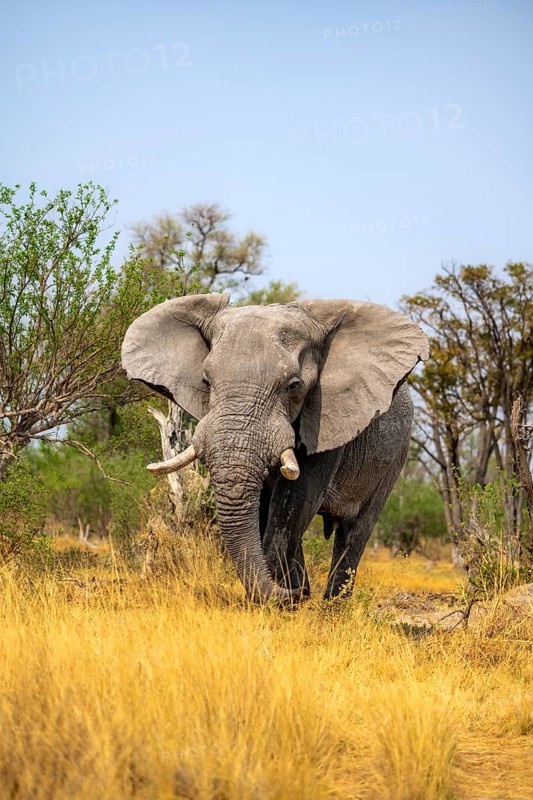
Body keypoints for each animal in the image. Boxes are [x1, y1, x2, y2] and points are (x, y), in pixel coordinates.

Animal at [121, 294, 429, 604]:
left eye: (294, 386)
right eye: (207, 382)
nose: (299, 596)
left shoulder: (324, 417)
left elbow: (294, 501)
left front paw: (281, 602)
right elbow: (264, 508)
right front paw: (290, 597)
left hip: (396, 454)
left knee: (355, 531)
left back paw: (331, 607)